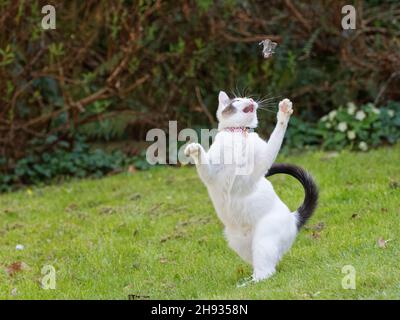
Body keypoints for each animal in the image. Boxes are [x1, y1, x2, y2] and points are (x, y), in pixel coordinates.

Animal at [184, 91, 318, 284]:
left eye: (246, 97)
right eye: (238, 100)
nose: (252, 99)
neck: (239, 134)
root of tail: (294, 218)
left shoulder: (260, 165)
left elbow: (277, 135)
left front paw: (284, 112)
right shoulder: (210, 174)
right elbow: (202, 160)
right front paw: (194, 149)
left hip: (264, 239)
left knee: (267, 271)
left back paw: (249, 284)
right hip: (240, 244)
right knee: (265, 264)